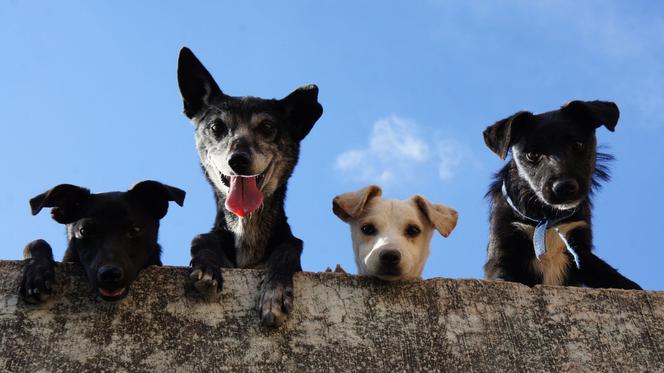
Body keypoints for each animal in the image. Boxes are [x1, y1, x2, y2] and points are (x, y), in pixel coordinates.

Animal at [175, 47, 322, 326]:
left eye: (267, 126)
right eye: (216, 127)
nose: (238, 160)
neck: (246, 227)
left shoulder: (289, 246)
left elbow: (287, 250)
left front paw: (274, 293)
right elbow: (201, 241)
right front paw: (207, 269)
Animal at [486, 99, 640, 288]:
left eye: (578, 145)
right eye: (532, 155)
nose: (564, 187)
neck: (548, 219)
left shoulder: (581, 251)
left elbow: (617, 278)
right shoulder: (503, 248)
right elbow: (502, 276)